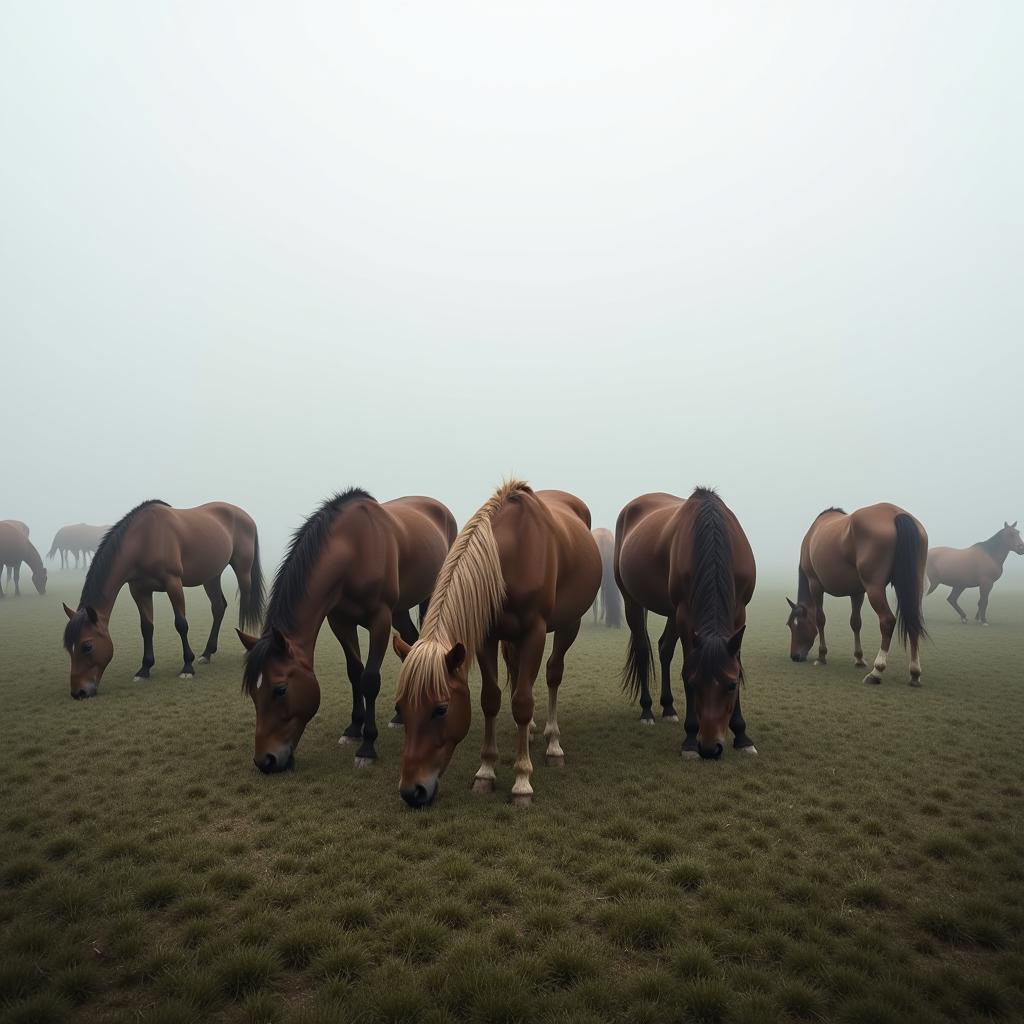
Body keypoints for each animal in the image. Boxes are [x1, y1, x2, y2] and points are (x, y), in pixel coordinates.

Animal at [59, 499, 264, 700]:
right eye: (68, 648)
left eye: (87, 646)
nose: (78, 692)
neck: (144, 538)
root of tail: (246, 517)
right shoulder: (139, 590)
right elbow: (147, 627)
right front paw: (144, 669)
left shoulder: (173, 583)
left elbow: (181, 624)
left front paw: (187, 667)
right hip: (211, 576)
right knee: (219, 607)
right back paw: (207, 653)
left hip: (243, 570)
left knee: (245, 602)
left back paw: (247, 644)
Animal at [238, 485, 456, 770]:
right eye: (253, 692)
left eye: (280, 690)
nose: (265, 761)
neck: (354, 548)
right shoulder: (340, 621)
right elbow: (355, 673)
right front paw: (353, 729)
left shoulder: (380, 620)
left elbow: (370, 680)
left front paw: (367, 746)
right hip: (399, 610)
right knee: (410, 640)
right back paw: (400, 716)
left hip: (429, 596)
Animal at [391, 479, 598, 806]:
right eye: (400, 707)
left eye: (441, 709)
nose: (412, 792)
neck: (509, 555)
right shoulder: (486, 637)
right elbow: (491, 699)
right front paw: (485, 772)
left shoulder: (534, 632)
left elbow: (523, 702)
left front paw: (522, 782)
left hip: (570, 623)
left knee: (553, 673)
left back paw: (553, 744)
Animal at [610, 487, 757, 761]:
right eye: (694, 683)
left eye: (731, 685)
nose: (710, 748)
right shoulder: (686, 615)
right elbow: (686, 664)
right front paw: (690, 741)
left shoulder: (739, 611)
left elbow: (738, 663)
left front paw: (742, 736)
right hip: (633, 601)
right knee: (643, 650)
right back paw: (647, 711)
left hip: (671, 611)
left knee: (664, 648)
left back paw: (668, 708)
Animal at [782, 505, 929, 688]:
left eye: (796, 625)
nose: (794, 656)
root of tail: (896, 514)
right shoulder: (857, 592)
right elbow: (855, 623)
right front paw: (859, 658)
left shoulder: (815, 585)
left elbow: (820, 619)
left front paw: (822, 656)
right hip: (914, 587)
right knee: (913, 622)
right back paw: (915, 673)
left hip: (874, 588)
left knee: (887, 621)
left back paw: (876, 671)